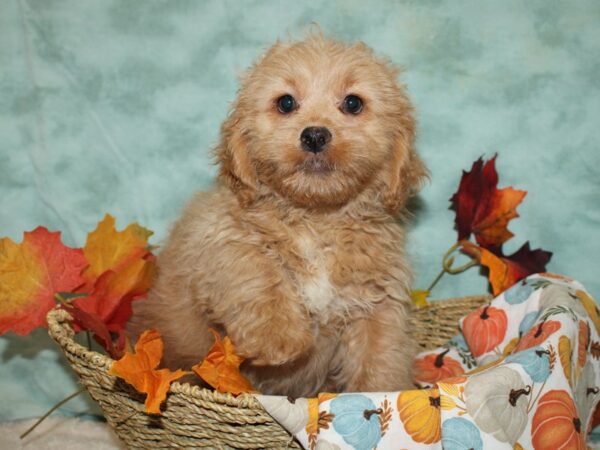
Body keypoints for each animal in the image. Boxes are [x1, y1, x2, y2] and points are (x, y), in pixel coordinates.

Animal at [127, 33, 426, 396]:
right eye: (285, 103)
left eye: (353, 103)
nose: (315, 134)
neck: (316, 219)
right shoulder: (218, 237)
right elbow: (256, 269)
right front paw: (278, 339)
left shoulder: (379, 298)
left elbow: (380, 354)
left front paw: (383, 393)